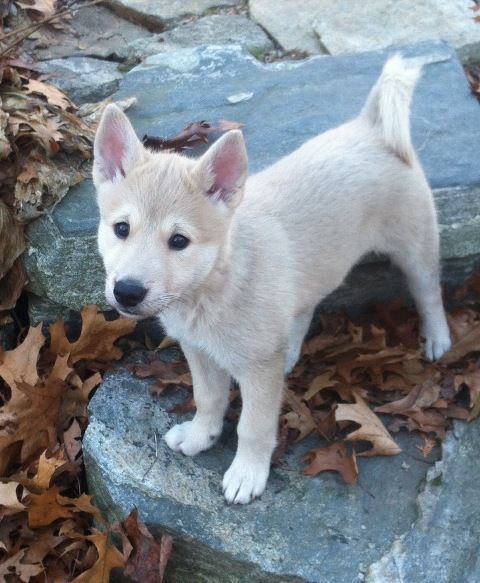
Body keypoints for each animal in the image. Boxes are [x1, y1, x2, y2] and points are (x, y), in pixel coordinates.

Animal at [93, 54, 450, 504]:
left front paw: (247, 473)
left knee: (429, 293)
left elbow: (253, 426)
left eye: (179, 241)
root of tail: (372, 128)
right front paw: (200, 435)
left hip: (415, 248)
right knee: (305, 308)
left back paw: (437, 339)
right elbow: (207, 399)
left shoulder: (256, 371)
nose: (127, 292)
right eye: (121, 229)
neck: (216, 285)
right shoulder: (199, 352)